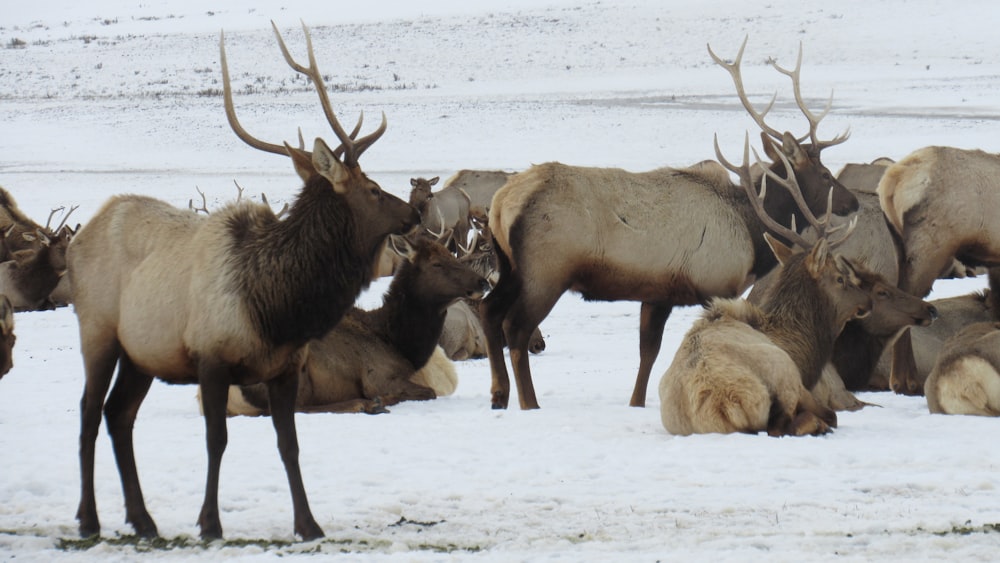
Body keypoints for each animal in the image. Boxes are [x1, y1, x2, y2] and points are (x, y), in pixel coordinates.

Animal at [66, 20, 418, 540]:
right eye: (373, 190)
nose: (414, 213)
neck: (278, 307)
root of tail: (78, 239)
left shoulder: (285, 366)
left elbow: (289, 443)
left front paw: (308, 524)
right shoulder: (211, 358)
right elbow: (217, 439)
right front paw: (210, 522)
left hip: (142, 354)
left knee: (119, 415)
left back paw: (143, 519)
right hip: (98, 331)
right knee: (90, 413)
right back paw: (89, 519)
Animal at [228, 236, 492, 416]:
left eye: (451, 255)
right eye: (437, 263)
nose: (483, 282)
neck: (399, 343)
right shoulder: (378, 377)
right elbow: (428, 392)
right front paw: (380, 399)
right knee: (296, 408)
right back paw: (366, 404)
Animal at [480, 38, 856, 410]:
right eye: (825, 174)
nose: (853, 201)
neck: (750, 230)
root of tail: (501, 203)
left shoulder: (657, 293)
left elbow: (647, 353)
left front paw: (636, 402)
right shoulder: (711, 286)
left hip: (510, 266)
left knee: (488, 310)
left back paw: (499, 394)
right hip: (545, 271)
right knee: (515, 327)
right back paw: (529, 402)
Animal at [656, 139, 868, 438]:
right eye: (840, 278)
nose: (867, 300)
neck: (800, 347)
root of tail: (724, 403)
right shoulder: (799, 379)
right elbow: (831, 414)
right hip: (782, 374)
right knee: (787, 424)